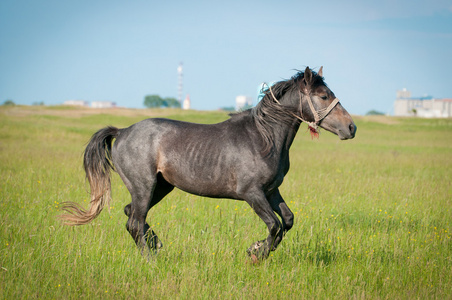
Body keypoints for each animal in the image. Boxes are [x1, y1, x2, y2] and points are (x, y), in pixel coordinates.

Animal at [60, 66, 356, 260]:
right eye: (324, 96)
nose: (351, 128)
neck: (265, 138)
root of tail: (122, 132)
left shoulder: (272, 191)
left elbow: (288, 221)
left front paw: (256, 249)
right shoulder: (252, 193)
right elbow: (274, 225)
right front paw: (256, 254)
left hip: (161, 187)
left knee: (131, 214)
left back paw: (157, 244)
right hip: (144, 186)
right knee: (134, 221)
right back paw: (151, 259)